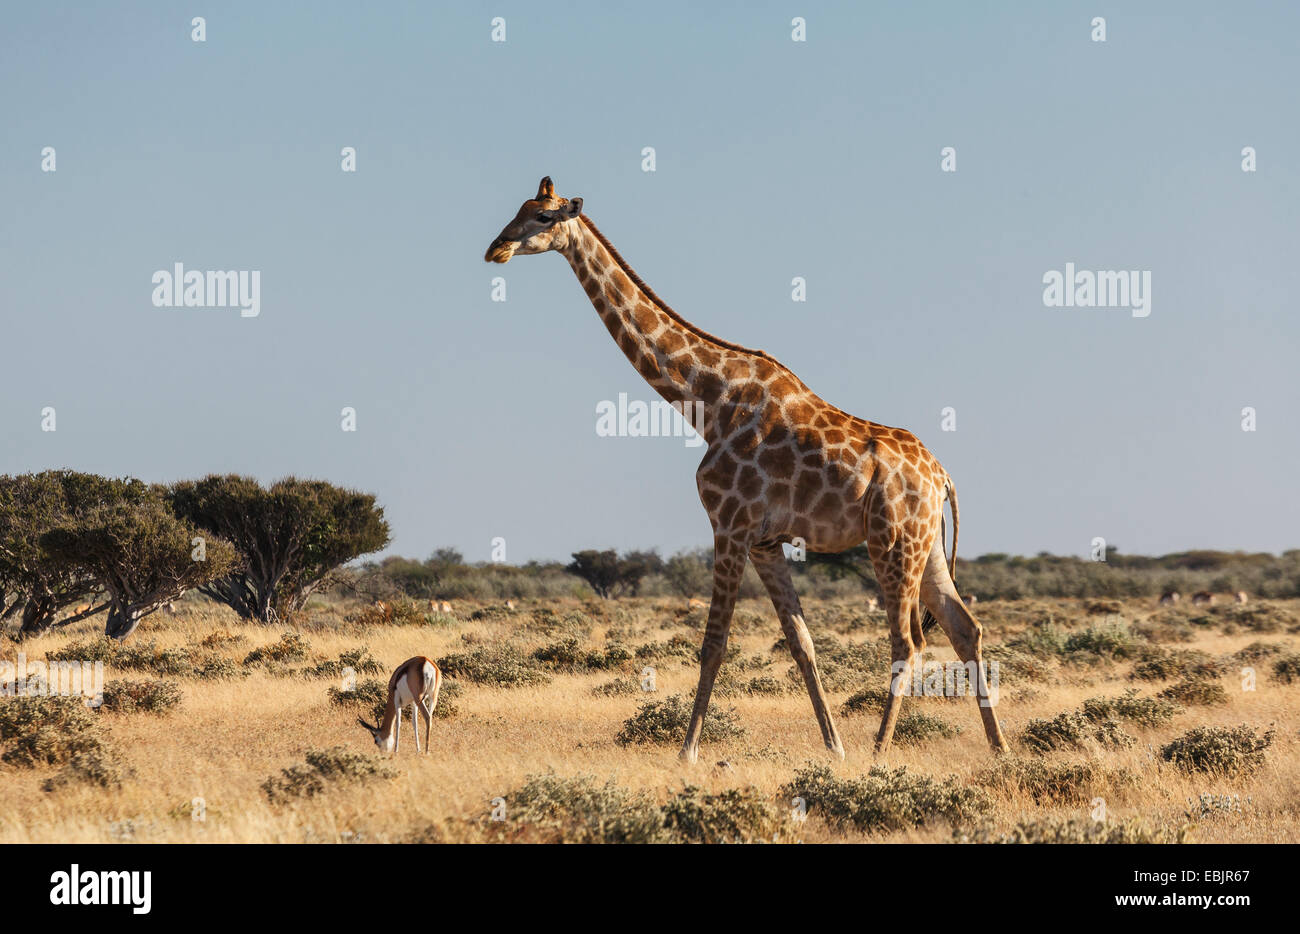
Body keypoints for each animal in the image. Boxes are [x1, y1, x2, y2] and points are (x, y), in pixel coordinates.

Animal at [483, 179, 1008, 764]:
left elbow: (714, 644)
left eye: (543, 216)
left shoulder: (729, 524)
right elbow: (801, 643)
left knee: (909, 641)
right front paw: (833, 747)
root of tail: (943, 477)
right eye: (521, 208)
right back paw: (999, 749)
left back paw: (879, 752)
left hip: (891, 541)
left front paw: (687, 752)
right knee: (966, 628)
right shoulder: (765, 542)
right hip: (925, 545)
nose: (496, 249)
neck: (707, 402)